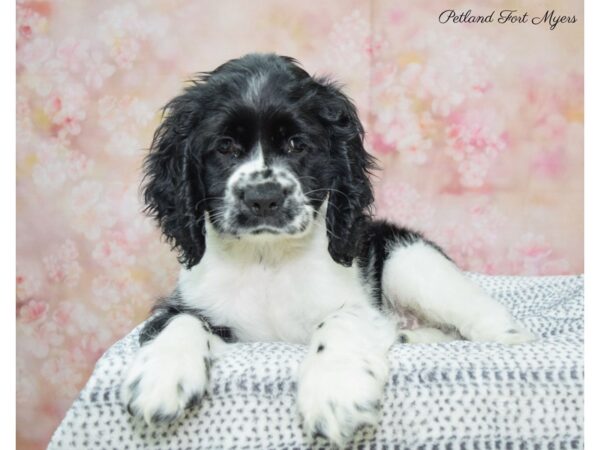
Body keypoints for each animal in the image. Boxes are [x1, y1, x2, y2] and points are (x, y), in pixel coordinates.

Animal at [120, 52, 536, 446]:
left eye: (296, 144)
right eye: (224, 147)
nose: (263, 198)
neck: (267, 259)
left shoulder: (360, 306)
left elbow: (338, 321)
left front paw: (336, 390)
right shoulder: (192, 304)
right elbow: (180, 320)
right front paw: (160, 375)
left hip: (411, 261)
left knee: (494, 326)